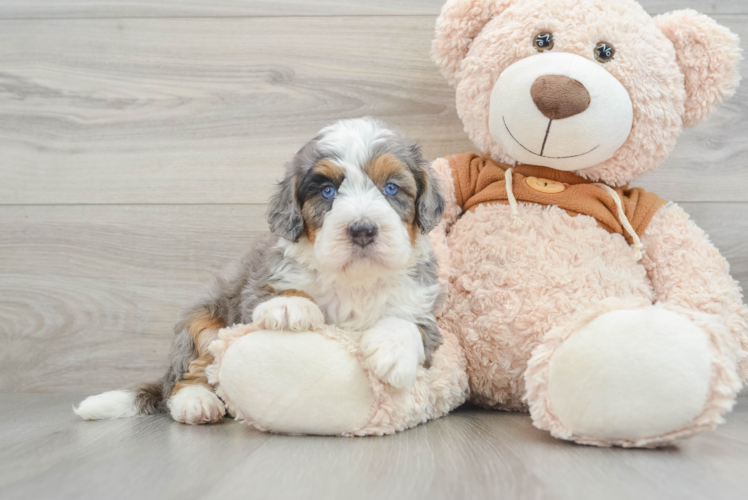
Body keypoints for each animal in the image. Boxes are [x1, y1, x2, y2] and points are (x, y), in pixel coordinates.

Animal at [76, 118, 448, 426]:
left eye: (391, 188)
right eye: (327, 191)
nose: (362, 230)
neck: (354, 279)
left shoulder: (422, 305)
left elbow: (406, 322)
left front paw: (393, 354)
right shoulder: (256, 285)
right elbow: (277, 291)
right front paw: (289, 306)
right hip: (202, 324)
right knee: (184, 377)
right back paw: (196, 403)